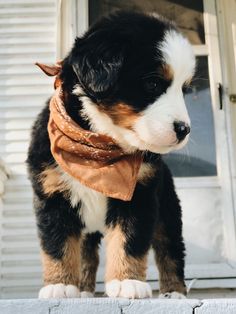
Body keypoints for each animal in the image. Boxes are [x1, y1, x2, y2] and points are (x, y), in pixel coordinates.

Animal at [26, 11, 195, 298]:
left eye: (184, 90)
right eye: (152, 83)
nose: (184, 129)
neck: (99, 149)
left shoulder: (140, 195)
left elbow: (129, 241)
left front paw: (127, 281)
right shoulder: (52, 194)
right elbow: (58, 246)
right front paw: (60, 285)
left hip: (168, 208)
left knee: (170, 249)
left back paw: (174, 292)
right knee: (87, 254)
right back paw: (83, 290)